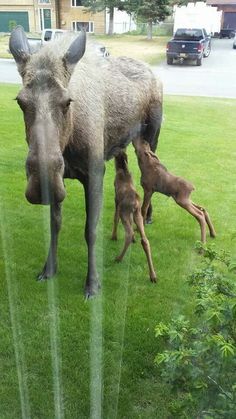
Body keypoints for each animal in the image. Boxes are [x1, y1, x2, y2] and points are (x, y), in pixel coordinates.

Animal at [110, 151, 157, 282]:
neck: (122, 169)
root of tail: (135, 203)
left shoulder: (116, 200)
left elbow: (115, 218)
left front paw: (114, 236)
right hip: (137, 214)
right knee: (145, 239)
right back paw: (153, 275)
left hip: (124, 212)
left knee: (129, 233)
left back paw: (119, 258)